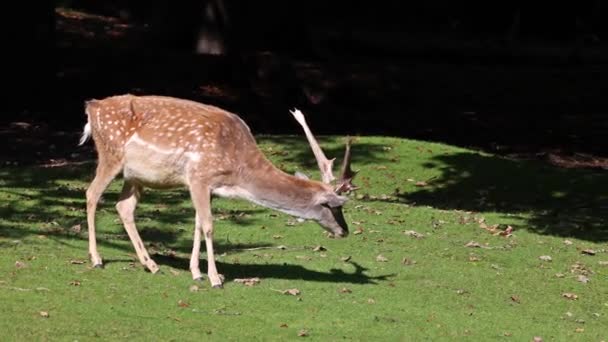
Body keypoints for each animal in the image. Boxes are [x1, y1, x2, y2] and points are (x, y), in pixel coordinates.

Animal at [78, 94, 358, 288]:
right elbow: (209, 226)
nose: (345, 231)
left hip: (135, 176)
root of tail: (92, 107)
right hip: (111, 155)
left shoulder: (207, 186)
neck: (238, 173)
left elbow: (198, 224)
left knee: (123, 206)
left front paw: (196, 272)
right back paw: (97, 259)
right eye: (333, 205)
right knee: (91, 194)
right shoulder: (199, 177)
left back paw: (151, 263)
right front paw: (215, 278)